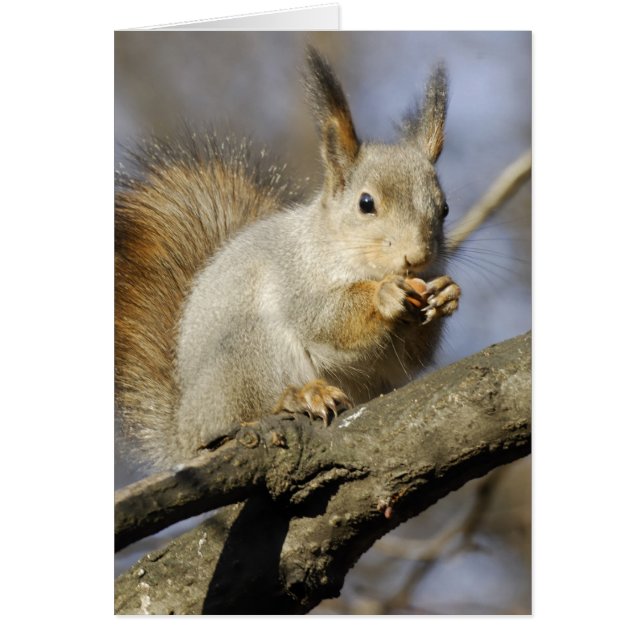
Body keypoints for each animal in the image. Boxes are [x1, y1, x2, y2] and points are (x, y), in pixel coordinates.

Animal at [115, 47, 461, 472]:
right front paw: (384, 296)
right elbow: (323, 318)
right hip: (248, 350)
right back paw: (300, 396)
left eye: (444, 209)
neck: (336, 247)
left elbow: (414, 355)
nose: (418, 257)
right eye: (366, 204)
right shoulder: (292, 275)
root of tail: (184, 429)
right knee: (252, 406)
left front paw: (447, 293)